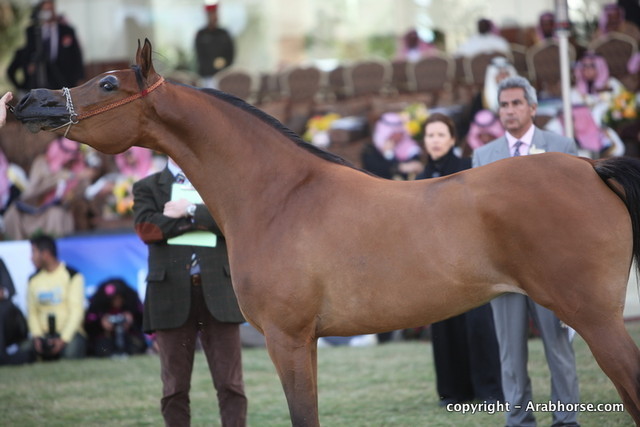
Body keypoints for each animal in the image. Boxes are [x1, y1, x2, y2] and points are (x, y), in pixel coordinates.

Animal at [11, 39, 640, 426]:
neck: (281, 196)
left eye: (108, 84)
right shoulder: (305, 342)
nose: (28, 100)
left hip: (596, 320)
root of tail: (591, 166)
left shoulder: (287, 340)